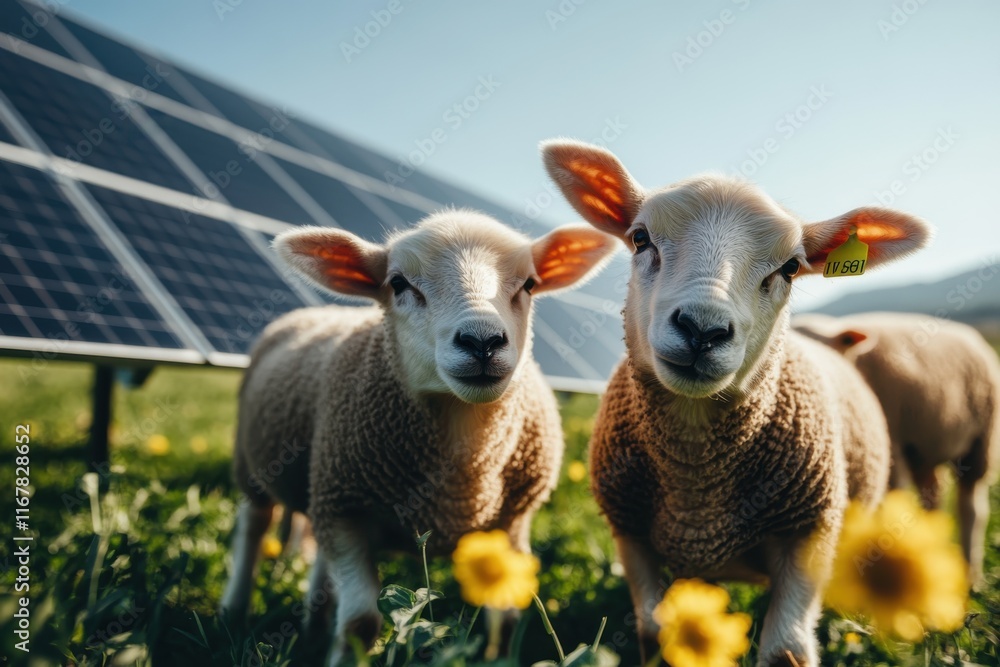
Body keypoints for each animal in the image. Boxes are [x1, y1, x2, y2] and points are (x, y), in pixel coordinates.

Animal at [219, 209, 618, 664]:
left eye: (530, 284)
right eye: (397, 283)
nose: (482, 341)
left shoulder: (513, 521)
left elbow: (508, 619)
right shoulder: (347, 510)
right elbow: (360, 624)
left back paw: (314, 622)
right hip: (255, 466)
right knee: (253, 525)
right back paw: (234, 610)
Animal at [541, 139, 932, 666]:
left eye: (791, 267)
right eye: (640, 238)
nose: (702, 329)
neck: (697, 486)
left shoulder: (808, 532)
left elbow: (785, 650)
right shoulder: (631, 532)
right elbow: (653, 632)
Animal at [793, 311, 1000, 586]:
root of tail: (972, 336)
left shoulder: (891, 444)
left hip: (980, 442)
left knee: (972, 508)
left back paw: (971, 575)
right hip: (924, 449)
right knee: (933, 496)